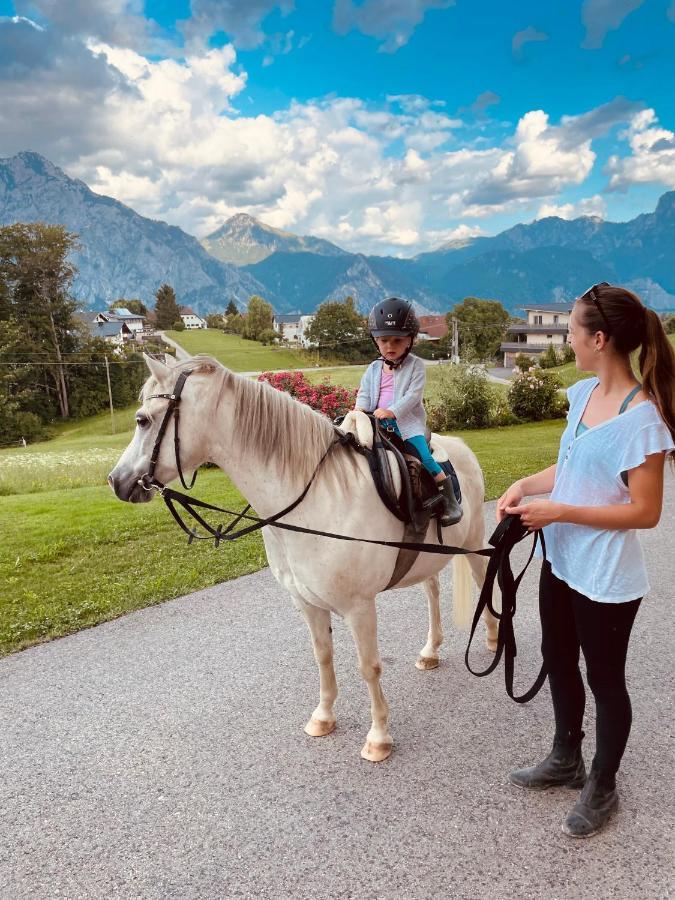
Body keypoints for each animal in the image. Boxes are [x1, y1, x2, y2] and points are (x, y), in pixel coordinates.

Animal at [109, 356, 496, 764]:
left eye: (143, 420)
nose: (116, 481)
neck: (315, 498)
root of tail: (459, 447)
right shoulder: (307, 603)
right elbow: (323, 657)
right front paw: (323, 718)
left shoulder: (359, 607)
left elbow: (369, 667)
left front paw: (378, 737)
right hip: (424, 557)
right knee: (432, 591)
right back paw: (431, 651)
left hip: (472, 544)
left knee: (484, 578)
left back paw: (491, 637)